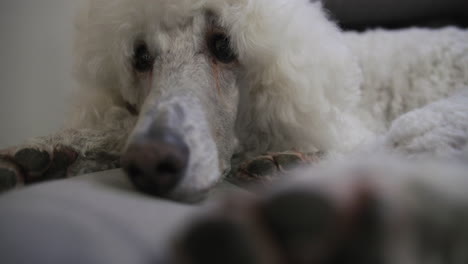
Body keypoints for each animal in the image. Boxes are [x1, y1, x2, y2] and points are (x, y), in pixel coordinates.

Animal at [0, 0, 466, 206]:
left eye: (224, 45)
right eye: (140, 56)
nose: (150, 162)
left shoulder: (350, 127)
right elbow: (113, 129)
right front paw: (49, 150)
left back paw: (285, 167)